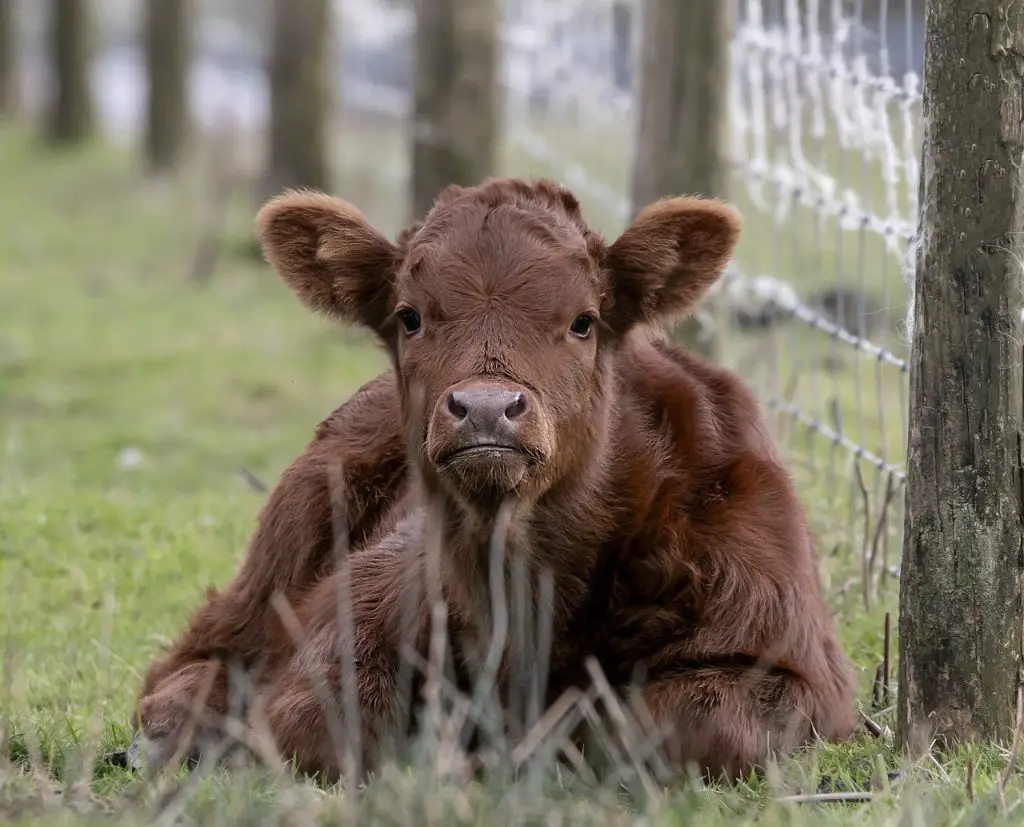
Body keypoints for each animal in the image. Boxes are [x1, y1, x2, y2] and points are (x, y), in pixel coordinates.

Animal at [136, 178, 856, 786]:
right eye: (410, 317)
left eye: (583, 320)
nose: (485, 407)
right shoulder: (356, 614)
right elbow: (328, 723)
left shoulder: (794, 668)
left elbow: (679, 729)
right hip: (284, 539)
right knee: (188, 663)